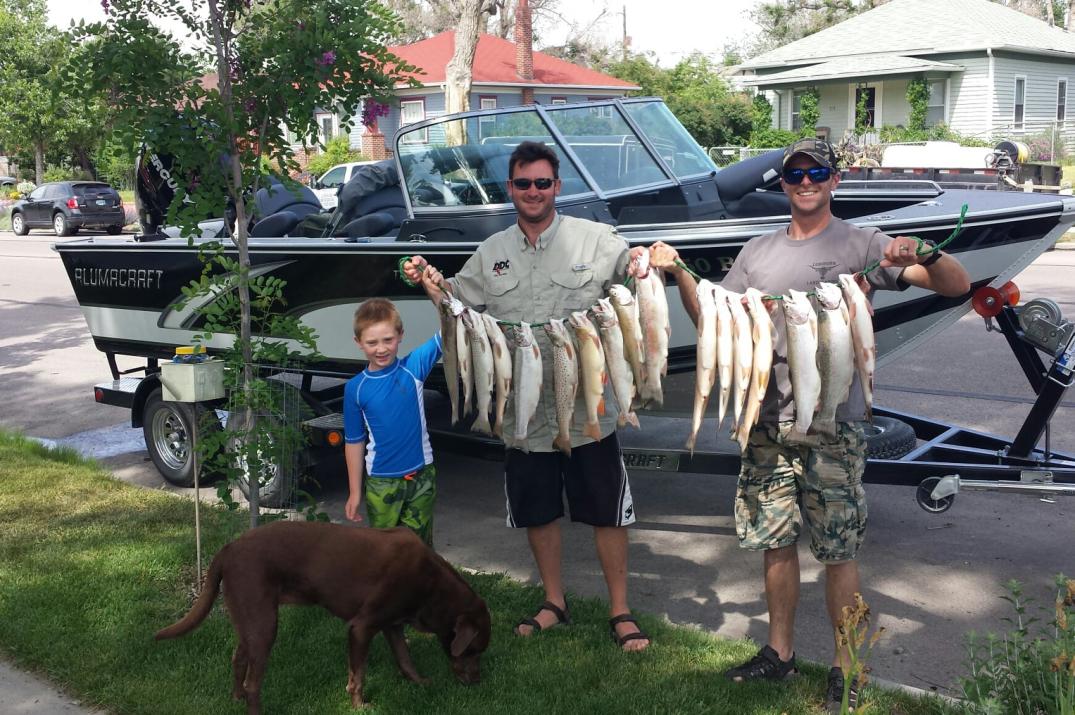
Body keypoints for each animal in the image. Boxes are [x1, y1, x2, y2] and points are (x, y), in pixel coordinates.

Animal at [155, 518, 492, 713]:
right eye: (473, 650)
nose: (478, 682)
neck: (433, 585)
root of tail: (228, 548)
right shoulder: (361, 627)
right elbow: (358, 676)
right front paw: (359, 705)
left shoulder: (392, 625)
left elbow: (405, 659)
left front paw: (420, 683)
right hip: (265, 625)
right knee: (254, 682)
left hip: (249, 620)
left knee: (238, 659)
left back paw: (235, 698)